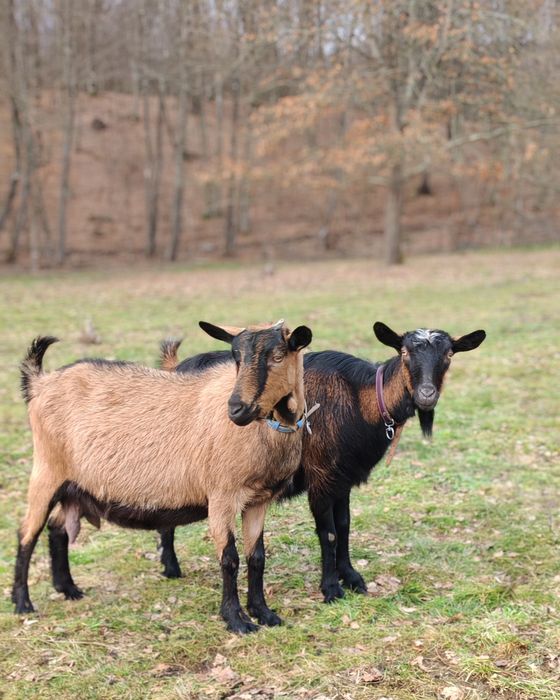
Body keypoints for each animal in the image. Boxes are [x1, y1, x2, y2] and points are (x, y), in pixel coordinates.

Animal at [13, 319, 312, 633]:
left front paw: (264, 613)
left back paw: (68, 588)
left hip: (75, 486)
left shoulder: (258, 501)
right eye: (236, 358)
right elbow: (229, 558)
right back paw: (23, 603)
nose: (236, 409)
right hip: (46, 470)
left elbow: (257, 557)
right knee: (27, 532)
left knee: (57, 527)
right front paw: (236, 620)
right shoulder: (221, 496)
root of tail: (39, 382)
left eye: (278, 356)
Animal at [147, 322, 486, 601]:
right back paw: (171, 566)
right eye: (404, 351)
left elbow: (345, 525)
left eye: (449, 354)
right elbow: (329, 533)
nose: (427, 395)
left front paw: (352, 577)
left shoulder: (343, 478)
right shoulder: (321, 477)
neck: (359, 399)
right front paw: (332, 588)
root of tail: (175, 367)